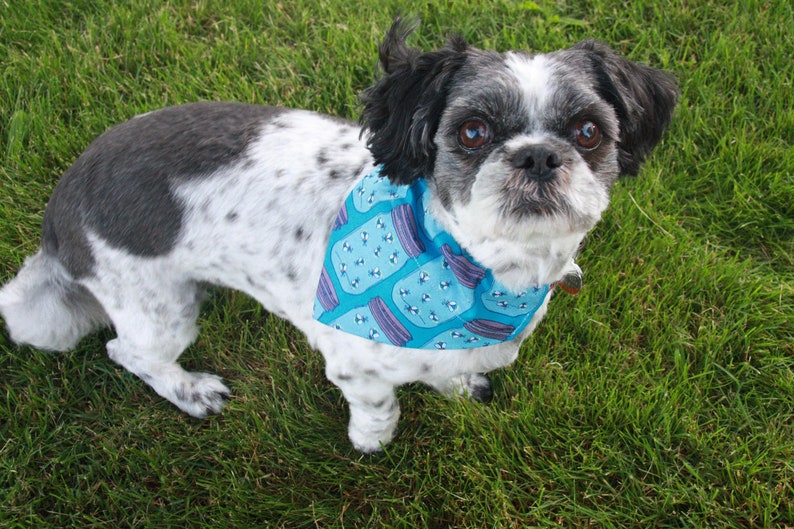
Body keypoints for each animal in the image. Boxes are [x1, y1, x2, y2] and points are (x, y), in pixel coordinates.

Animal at [3, 18, 676, 452]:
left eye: (588, 132)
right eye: (474, 132)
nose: (538, 156)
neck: (481, 272)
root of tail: (60, 208)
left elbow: (453, 370)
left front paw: (458, 385)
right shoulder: (355, 366)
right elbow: (382, 407)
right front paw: (371, 443)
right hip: (157, 306)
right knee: (128, 352)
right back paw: (189, 390)